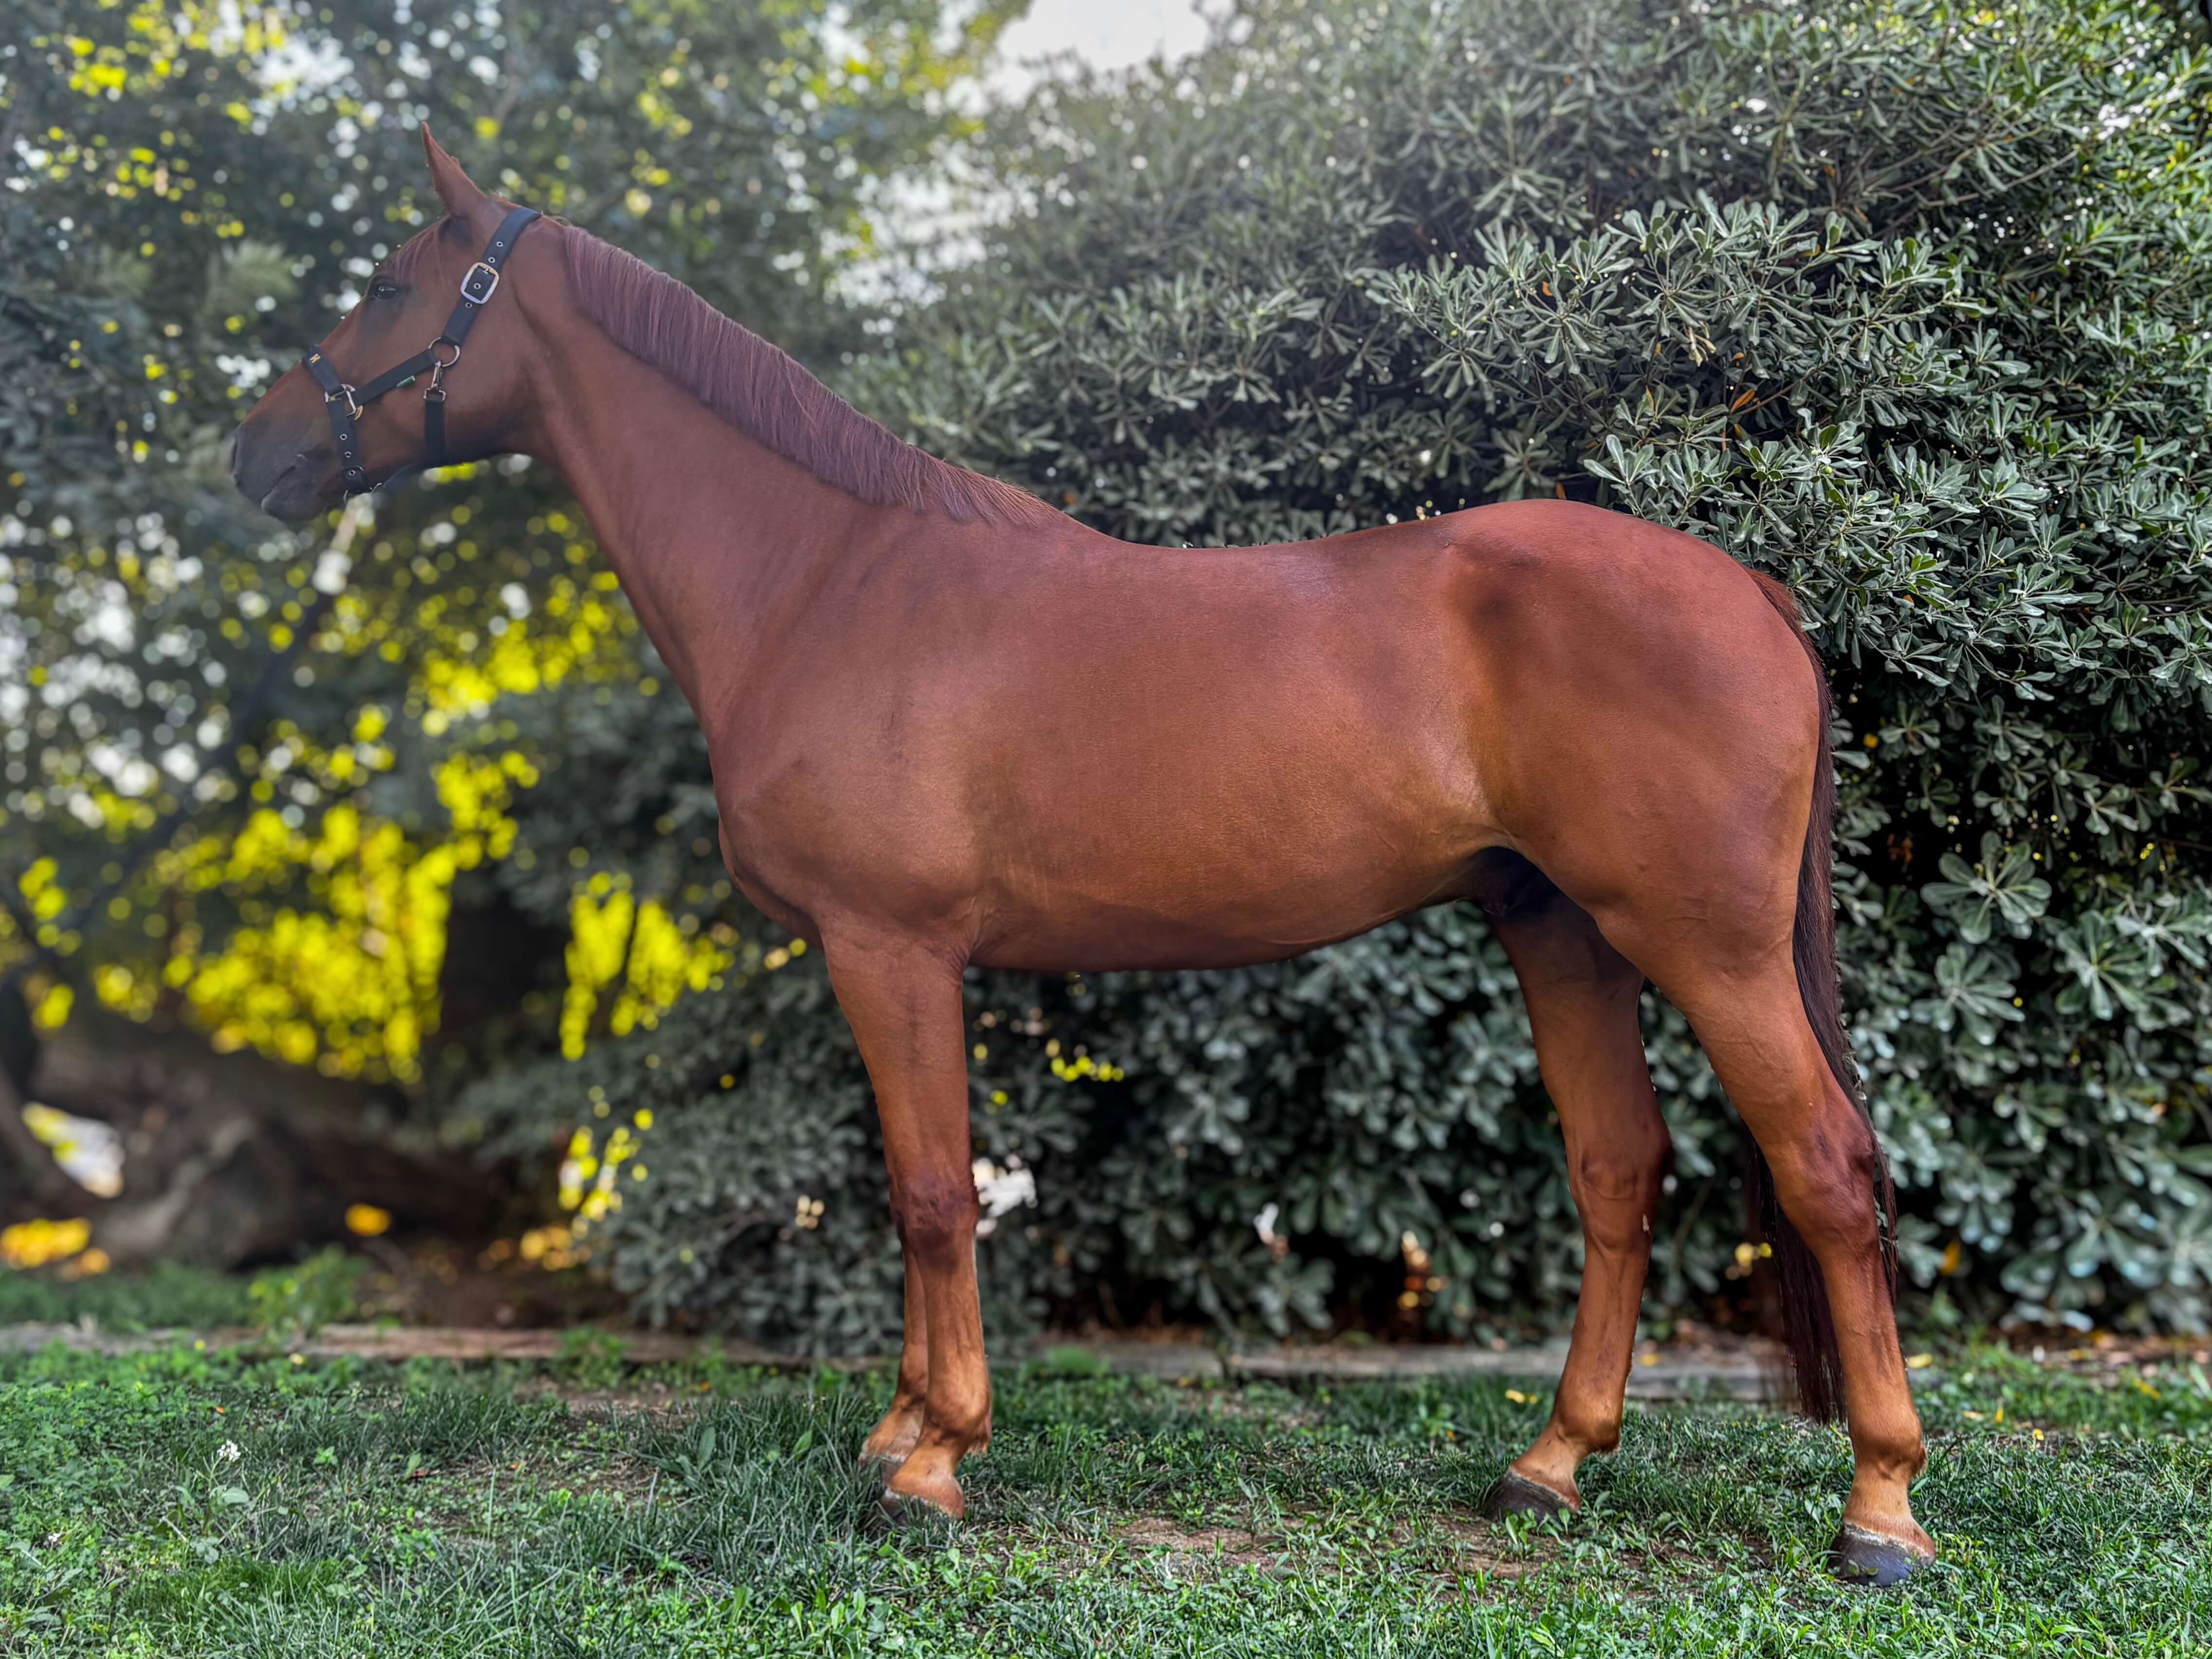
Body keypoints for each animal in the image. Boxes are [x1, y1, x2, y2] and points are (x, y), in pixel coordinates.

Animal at [232, 128, 1932, 1585]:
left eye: (388, 287)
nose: (258, 449)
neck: (827, 579)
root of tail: (1750, 593)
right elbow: (912, 1190)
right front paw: (900, 1431)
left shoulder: (894, 947)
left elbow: (931, 1192)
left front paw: (931, 1466)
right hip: (1559, 927)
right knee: (1616, 1166)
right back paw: (1549, 1466)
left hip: (1702, 943)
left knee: (1827, 1167)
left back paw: (1881, 1511)